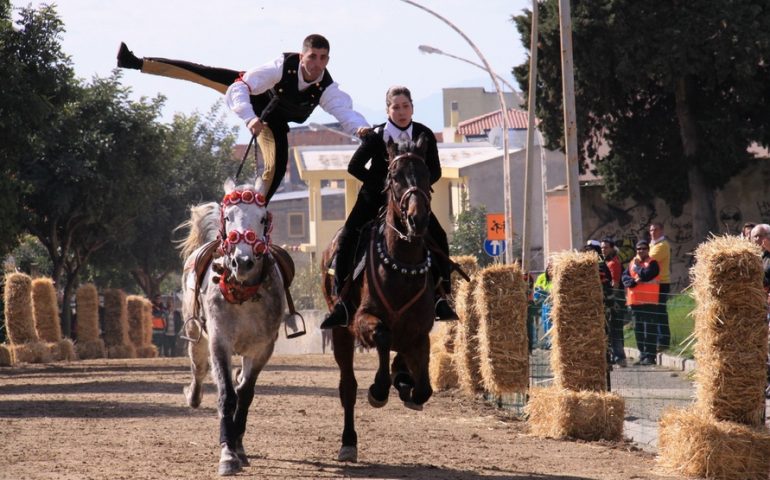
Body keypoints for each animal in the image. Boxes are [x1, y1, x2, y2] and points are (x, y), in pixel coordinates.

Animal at [178, 177, 284, 476]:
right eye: (229, 217)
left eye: (262, 218)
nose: (243, 261)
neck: (243, 295)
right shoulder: (219, 342)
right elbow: (226, 394)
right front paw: (227, 454)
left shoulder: (261, 349)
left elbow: (244, 394)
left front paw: (237, 445)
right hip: (196, 337)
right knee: (199, 371)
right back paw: (192, 396)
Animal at [320, 134, 436, 462]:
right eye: (394, 177)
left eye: (426, 174)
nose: (417, 219)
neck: (402, 265)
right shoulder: (363, 320)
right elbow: (384, 337)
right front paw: (380, 389)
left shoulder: (421, 332)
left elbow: (423, 386)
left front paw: (406, 382)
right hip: (340, 332)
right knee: (348, 387)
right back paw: (348, 441)